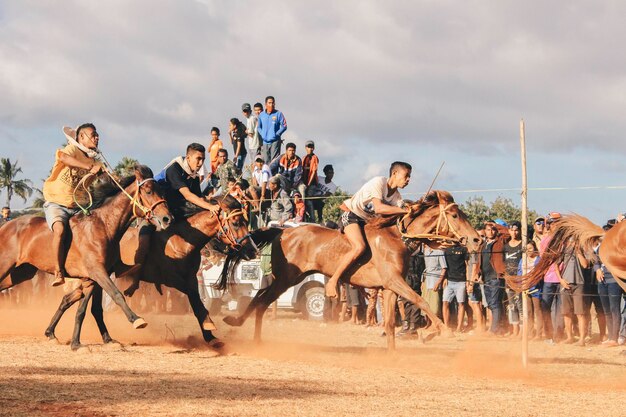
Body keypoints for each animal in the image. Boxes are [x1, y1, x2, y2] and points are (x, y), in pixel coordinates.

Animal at [0, 166, 171, 328]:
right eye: (148, 191)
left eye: (162, 191)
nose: (167, 218)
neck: (103, 225)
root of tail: (5, 226)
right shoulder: (97, 271)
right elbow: (116, 294)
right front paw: (136, 319)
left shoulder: (94, 276)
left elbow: (86, 308)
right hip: (6, 266)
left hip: (21, 272)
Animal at [42, 197, 276, 350]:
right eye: (236, 222)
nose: (252, 250)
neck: (181, 241)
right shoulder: (174, 280)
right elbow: (197, 303)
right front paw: (209, 327)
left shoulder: (191, 280)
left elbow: (197, 305)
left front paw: (210, 336)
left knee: (74, 299)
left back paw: (52, 332)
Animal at [217, 190, 480, 350]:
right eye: (454, 215)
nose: (476, 239)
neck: (396, 237)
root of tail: (282, 231)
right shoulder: (395, 282)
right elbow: (420, 300)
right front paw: (441, 331)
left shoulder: (389, 288)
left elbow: (390, 324)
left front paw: (394, 353)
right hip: (286, 278)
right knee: (261, 300)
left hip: (289, 278)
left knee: (260, 300)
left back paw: (241, 326)